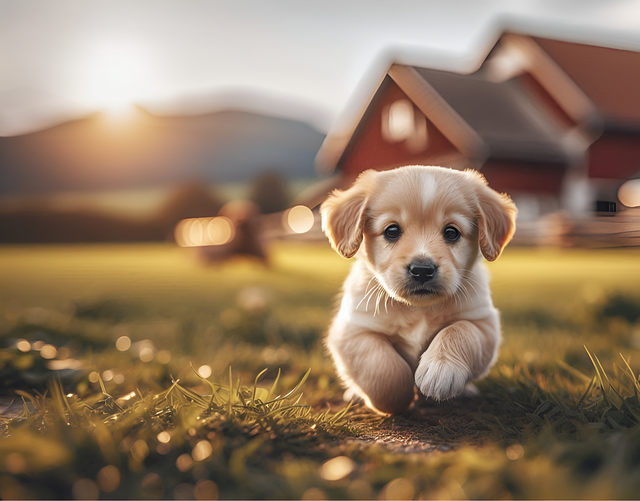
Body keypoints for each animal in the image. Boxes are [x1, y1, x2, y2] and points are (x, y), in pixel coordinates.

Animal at [318, 165, 516, 414]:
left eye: (452, 232)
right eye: (392, 230)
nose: (422, 270)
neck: (419, 309)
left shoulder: (484, 326)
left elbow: (459, 330)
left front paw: (441, 369)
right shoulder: (352, 330)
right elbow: (383, 367)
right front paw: (397, 399)